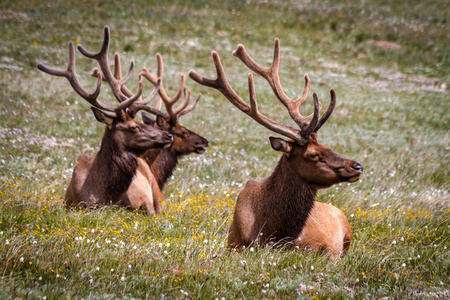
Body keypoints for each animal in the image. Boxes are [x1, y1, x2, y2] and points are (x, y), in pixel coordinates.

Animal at [36, 26, 174, 213]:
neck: (108, 195)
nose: (169, 135)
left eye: (140, 122)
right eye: (134, 127)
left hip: (154, 186)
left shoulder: (143, 200)